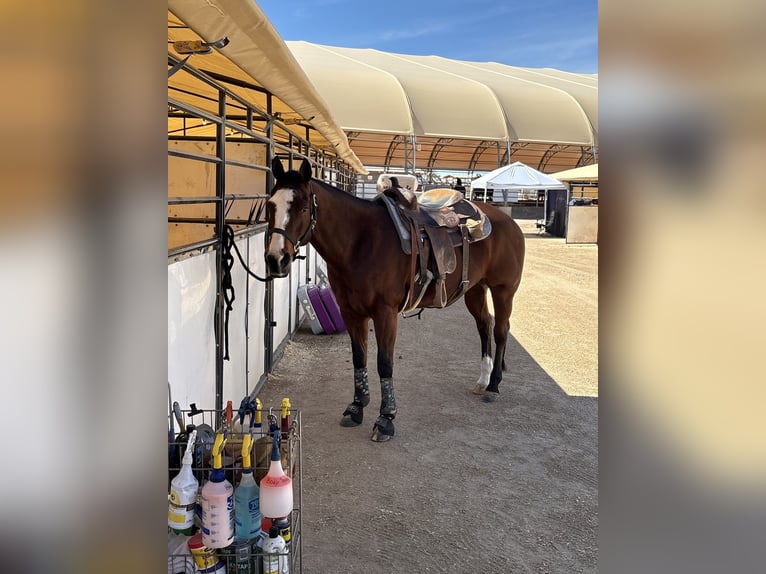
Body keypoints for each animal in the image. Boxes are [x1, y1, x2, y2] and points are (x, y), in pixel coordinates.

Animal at [264, 158, 525, 442]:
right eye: (270, 205)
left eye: (302, 208)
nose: (276, 260)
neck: (361, 241)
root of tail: (508, 222)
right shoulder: (351, 312)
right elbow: (359, 358)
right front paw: (356, 408)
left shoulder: (385, 314)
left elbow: (384, 364)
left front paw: (386, 419)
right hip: (475, 290)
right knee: (484, 325)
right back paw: (483, 379)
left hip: (503, 291)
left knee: (501, 331)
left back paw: (494, 385)